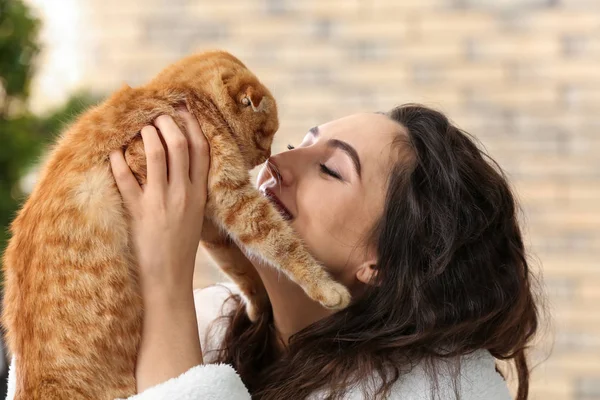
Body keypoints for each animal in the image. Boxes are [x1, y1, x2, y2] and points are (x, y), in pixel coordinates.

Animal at [2, 50, 352, 400]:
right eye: (265, 134)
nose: (267, 158)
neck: (182, 96)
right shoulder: (232, 198)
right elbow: (279, 241)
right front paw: (327, 289)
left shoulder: (209, 221)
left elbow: (239, 265)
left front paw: (257, 303)